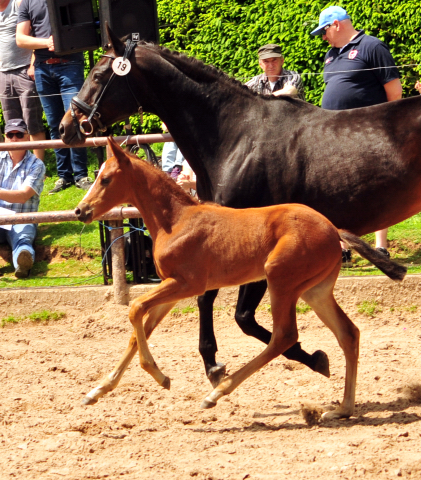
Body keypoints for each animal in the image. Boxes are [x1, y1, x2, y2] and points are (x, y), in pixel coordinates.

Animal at [74, 137, 404, 418]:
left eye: (106, 179)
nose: (80, 210)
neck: (176, 221)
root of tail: (333, 229)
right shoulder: (172, 289)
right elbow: (137, 330)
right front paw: (97, 391)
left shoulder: (187, 284)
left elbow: (134, 309)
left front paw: (160, 376)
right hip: (315, 290)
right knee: (348, 333)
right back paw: (343, 408)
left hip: (280, 280)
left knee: (285, 336)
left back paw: (217, 392)